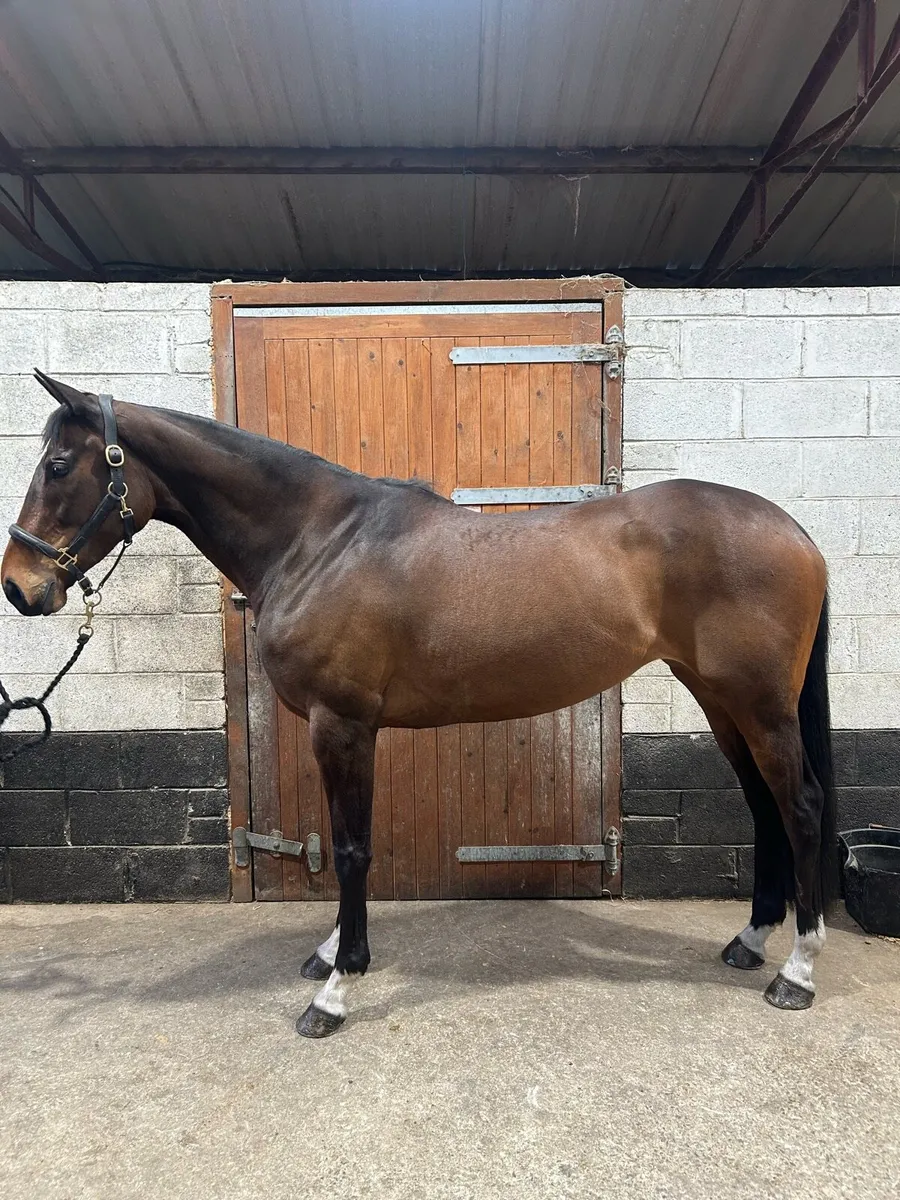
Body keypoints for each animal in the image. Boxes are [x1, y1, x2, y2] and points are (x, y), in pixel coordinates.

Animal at [2, 372, 838, 1036]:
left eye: (57, 465)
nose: (19, 587)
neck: (319, 541)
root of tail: (798, 532)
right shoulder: (342, 729)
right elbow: (347, 841)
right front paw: (330, 954)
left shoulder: (344, 725)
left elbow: (351, 849)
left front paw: (337, 989)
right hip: (719, 700)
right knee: (763, 806)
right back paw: (750, 941)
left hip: (760, 706)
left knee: (798, 806)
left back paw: (795, 972)